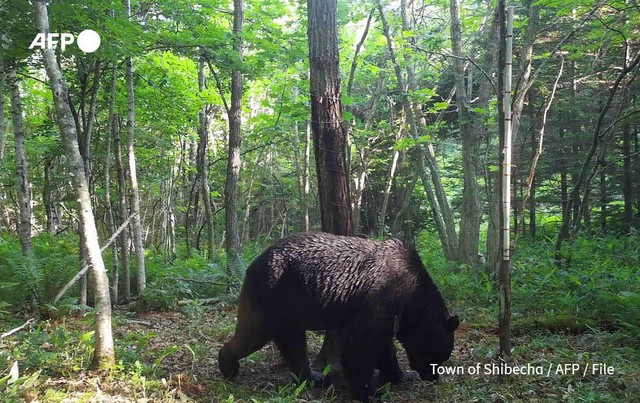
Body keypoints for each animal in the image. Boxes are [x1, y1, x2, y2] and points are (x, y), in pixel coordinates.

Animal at [218, 232, 459, 401]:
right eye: (440, 355)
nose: (432, 377)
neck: (410, 296)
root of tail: (253, 262)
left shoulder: (386, 314)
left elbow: (383, 346)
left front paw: (398, 375)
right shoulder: (379, 299)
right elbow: (363, 345)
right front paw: (366, 391)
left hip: (290, 308)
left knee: (293, 344)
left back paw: (313, 377)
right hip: (273, 294)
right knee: (254, 333)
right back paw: (228, 366)